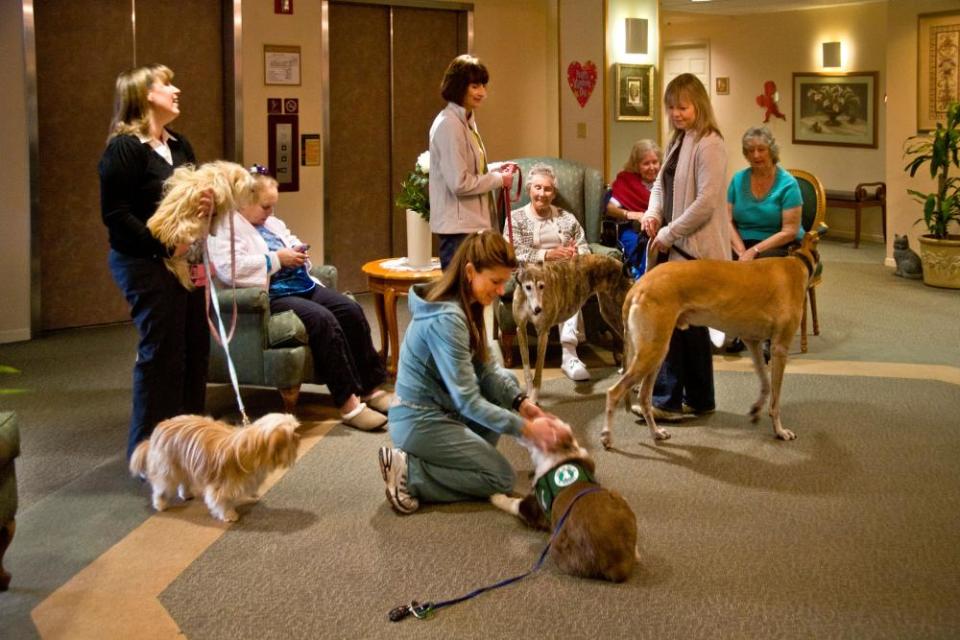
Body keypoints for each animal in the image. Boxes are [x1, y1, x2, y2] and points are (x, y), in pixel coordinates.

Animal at [496, 432, 636, 584]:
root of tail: (618, 565)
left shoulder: (534, 510)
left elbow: (515, 503)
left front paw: (495, 496)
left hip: (555, 543)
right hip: (615, 495)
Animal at [600, 232, 816, 448]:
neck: (798, 262)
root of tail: (637, 287)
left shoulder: (753, 342)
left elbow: (765, 383)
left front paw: (756, 409)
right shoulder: (780, 348)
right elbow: (776, 399)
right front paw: (780, 430)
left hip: (657, 353)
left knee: (644, 396)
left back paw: (656, 432)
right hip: (651, 352)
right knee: (614, 392)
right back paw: (607, 436)